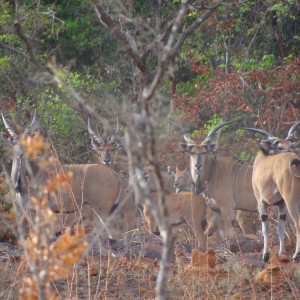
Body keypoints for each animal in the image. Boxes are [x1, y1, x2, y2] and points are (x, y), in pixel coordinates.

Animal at [0, 110, 137, 239]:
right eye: (13, 142)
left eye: (27, 142)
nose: (20, 153)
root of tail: (114, 175)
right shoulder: (29, 211)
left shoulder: (42, 211)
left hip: (103, 211)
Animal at [243, 123, 300, 262]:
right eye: (280, 147)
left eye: (291, 145)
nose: (290, 151)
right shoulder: (281, 204)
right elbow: (280, 228)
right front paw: (282, 252)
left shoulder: (261, 203)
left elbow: (265, 229)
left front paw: (265, 256)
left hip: (292, 201)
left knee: (298, 224)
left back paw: (296, 255)